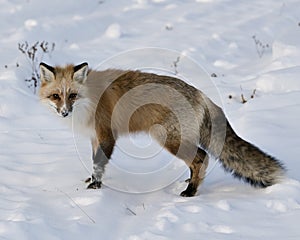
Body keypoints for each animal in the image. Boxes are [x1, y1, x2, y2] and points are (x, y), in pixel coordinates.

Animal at [38, 62, 284, 197]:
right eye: (55, 96)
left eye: (72, 95)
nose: (65, 113)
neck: (90, 100)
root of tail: (201, 94)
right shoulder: (94, 137)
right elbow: (94, 162)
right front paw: (91, 180)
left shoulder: (107, 134)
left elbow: (99, 163)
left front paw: (95, 187)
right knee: (197, 160)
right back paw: (189, 183)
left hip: (170, 140)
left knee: (201, 158)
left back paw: (191, 192)